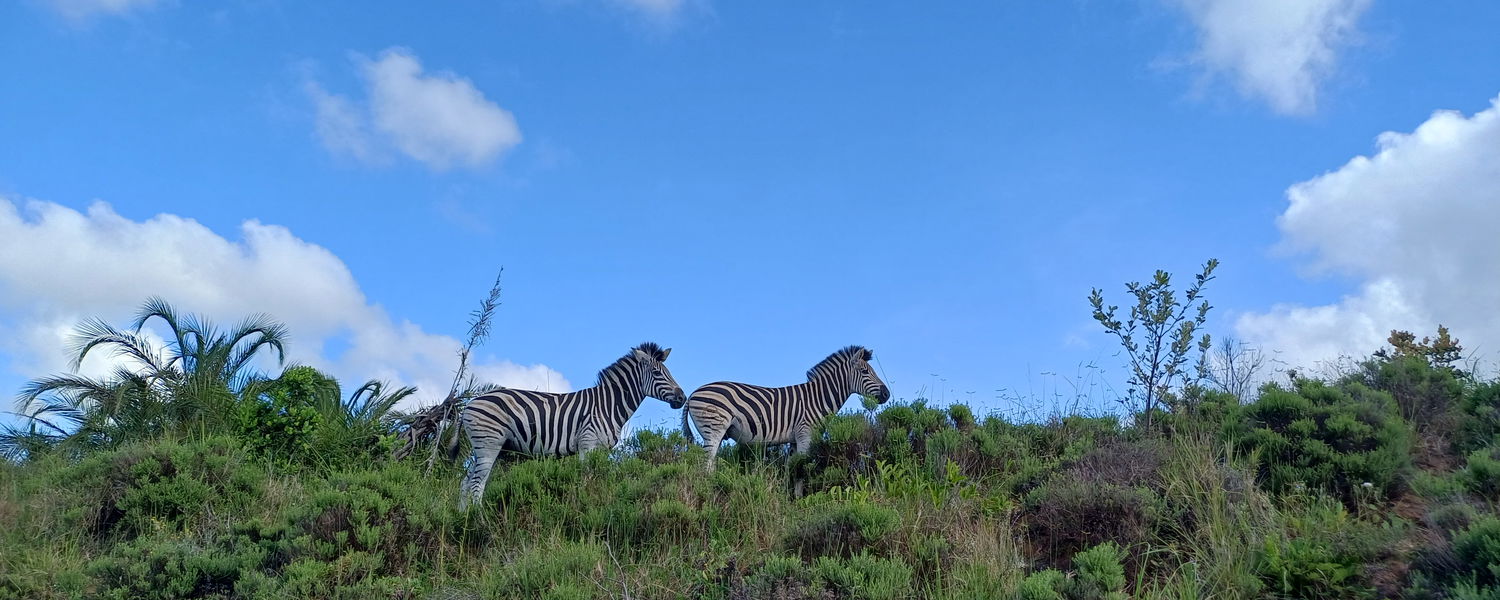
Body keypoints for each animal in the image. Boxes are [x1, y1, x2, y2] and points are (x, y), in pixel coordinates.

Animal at [458, 342, 685, 510]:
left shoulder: (602, 450)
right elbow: (585, 479)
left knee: (465, 482)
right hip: (489, 445)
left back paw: (462, 518)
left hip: (482, 448)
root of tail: (470, 404)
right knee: (477, 484)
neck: (608, 404)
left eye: (668, 372)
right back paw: (480, 519)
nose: (682, 398)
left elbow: (599, 478)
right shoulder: (587, 444)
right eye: (657, 373)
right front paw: (585, 506)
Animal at [680, 345, 890, 471]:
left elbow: (792, 470)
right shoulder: (805, 434)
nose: (887, 394)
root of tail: (693, 394)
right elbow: (801, 470)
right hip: (713, 429)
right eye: (865, 372)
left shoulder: (795, 440)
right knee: (705, 464)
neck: (817, 398)